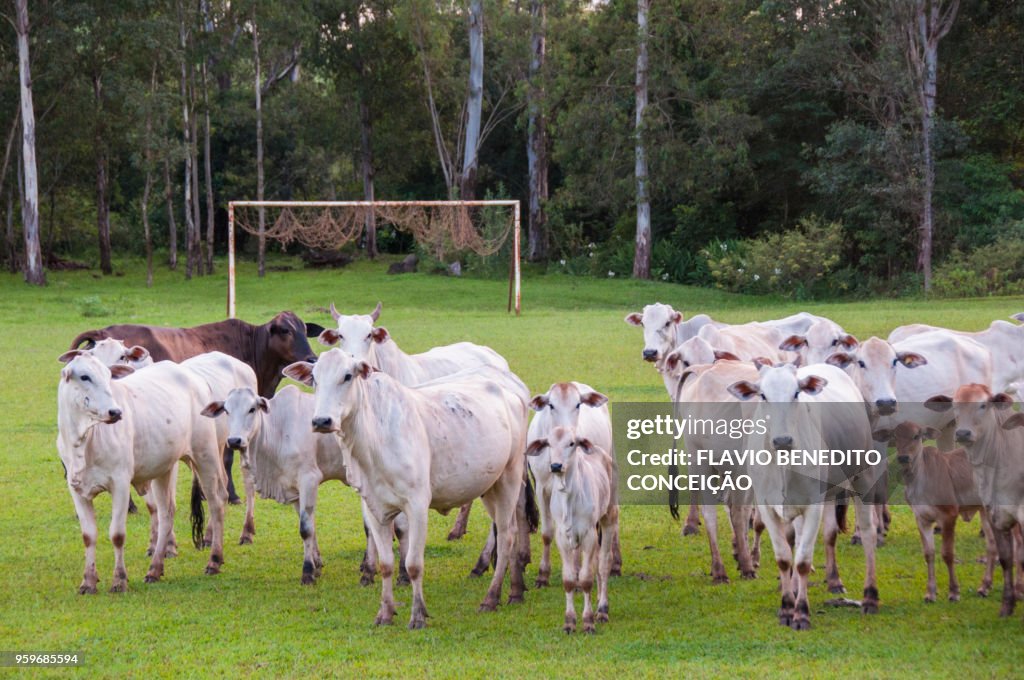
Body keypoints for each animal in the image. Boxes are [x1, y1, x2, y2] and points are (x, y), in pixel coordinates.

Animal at [56, 352, 228, 593]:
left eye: (108, 376)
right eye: (84, 376)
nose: (115, 412)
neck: (83, 441)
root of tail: (196, 377)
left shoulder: (120, 483)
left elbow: (117, 534)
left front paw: (119, 580)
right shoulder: (77, 489)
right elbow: (89, 536)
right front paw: (88, 581)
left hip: (207, 455)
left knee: (216, 501)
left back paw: (214, 560)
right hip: (164, 468)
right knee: (166, 513)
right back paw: (155, 569)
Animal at [71, 311, 323, 503]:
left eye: (304, 329)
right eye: (285, 330)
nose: (312, 358)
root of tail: (102, 331)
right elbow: (226, 457)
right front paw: (231, 495)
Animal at [284, 352, 532, 630]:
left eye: (347, 376)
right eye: (314, 379)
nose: (321, 421)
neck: (374, 440)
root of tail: (513, 389)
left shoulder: (417, 506)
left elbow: (413, 564)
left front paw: (418, 615)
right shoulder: (374, 508)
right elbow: (386, 564)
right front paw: (385, 612)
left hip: (510, 476)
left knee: (507, 535)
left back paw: (492, 597)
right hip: (491, 485)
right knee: (509, 527)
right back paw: (515, 590)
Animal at [528, 378, 614, 585]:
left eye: (578, 404)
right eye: (551, 405)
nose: (568, 432)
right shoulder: (541, 488)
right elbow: (547, 532)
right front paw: (543, 574)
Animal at [528, 426, 614, 630]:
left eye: (571, 443)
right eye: (549, 443)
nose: (556, 466)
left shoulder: (589, 535)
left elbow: (585, 579)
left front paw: (588, 621)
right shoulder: (563, 537)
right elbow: (569, 580)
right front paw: (569, 622)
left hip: (609, 516)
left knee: (604, 563)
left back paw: (603, 609)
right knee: (596, 562)